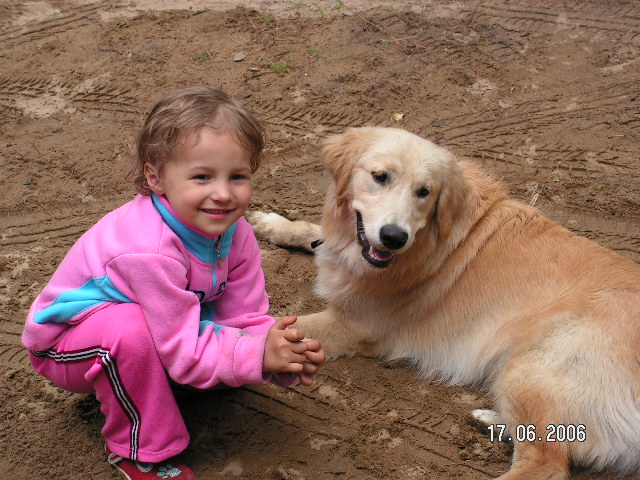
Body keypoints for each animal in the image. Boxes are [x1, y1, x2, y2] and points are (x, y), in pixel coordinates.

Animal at [248, 127, 640, 479]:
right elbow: (312, 233)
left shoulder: (352, 325)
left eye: (425, 192)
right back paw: (491, 419)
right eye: (380, 177)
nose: (394, 237)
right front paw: (270, 223)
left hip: (535, 368)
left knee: (546, 465)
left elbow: (277, 326)